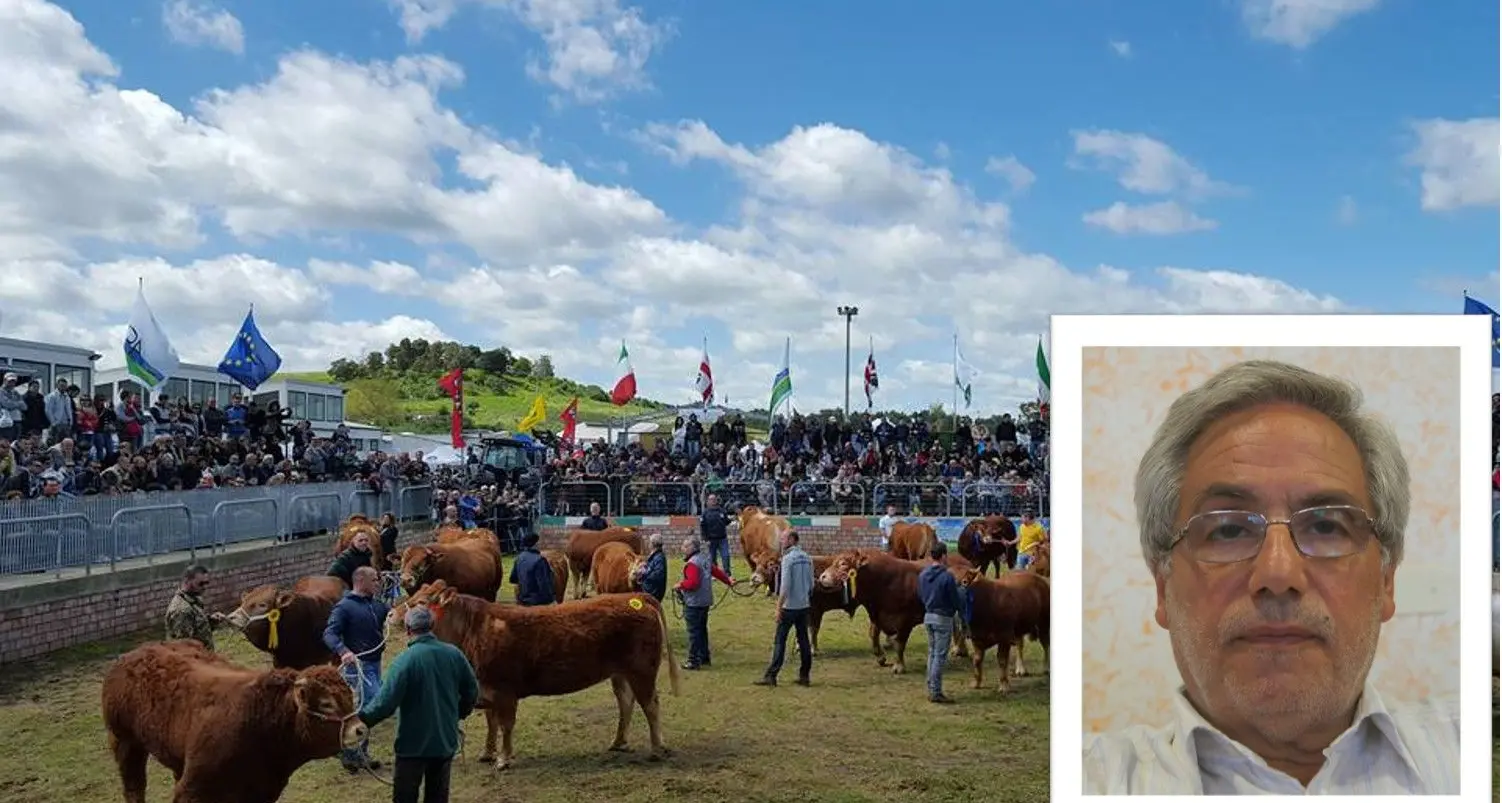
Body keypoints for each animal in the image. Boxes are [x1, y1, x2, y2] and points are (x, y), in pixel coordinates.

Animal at [101, 642, 364, 803]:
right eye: (327, 704)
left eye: (350, 696)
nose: (360, 729)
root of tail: (131, 657)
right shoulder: (192, 790)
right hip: (125, 742)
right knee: (134, 786)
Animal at [396, 579, 684, 774]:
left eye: (421, 602)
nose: (390, 614)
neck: (475, 630)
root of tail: (636, 597)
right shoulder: (485, 688)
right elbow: (491, 723)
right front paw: (488, 753)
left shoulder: (504, 690)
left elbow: (505, 725)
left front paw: (503, 759)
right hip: (619, 673)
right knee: (626, 702)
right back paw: (618, 742)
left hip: (642, 670)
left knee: (650, 705)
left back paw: (657, 749)